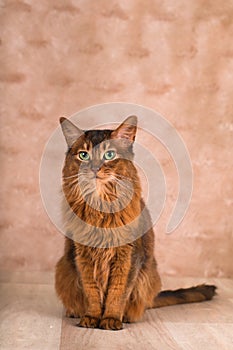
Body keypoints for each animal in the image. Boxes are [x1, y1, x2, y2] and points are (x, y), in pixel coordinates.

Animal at [55, 115, 217, 330]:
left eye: (109, 155)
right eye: (83, 155)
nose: (95, 168)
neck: (101, 207)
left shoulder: (129, 256)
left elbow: (117, 292)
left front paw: (111, 318)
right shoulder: (82, 255)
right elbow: (91, 291)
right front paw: (91, 317)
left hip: (148, 275)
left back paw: (127, 316)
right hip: (63, 267)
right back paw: (74, 311)